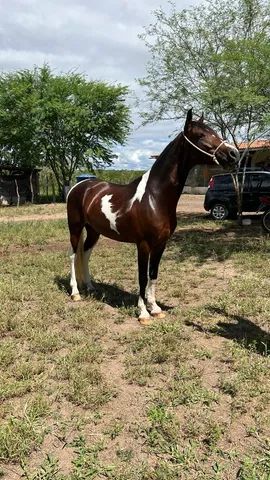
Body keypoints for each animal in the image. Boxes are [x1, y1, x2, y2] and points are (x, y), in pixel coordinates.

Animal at [66, 109, 239, 326]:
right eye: (201, 135)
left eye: (214, 131)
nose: (234, 154)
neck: (154, 197)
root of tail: (80, 186)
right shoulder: (143, 244)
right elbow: (142, 276)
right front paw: (143, 313)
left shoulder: (161, 244)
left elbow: (153, 274)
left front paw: (155, 308)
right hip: (75, 228)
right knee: (73, 255)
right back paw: (75, 293)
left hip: (94, 231)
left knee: (86, 254)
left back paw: (89, 287)